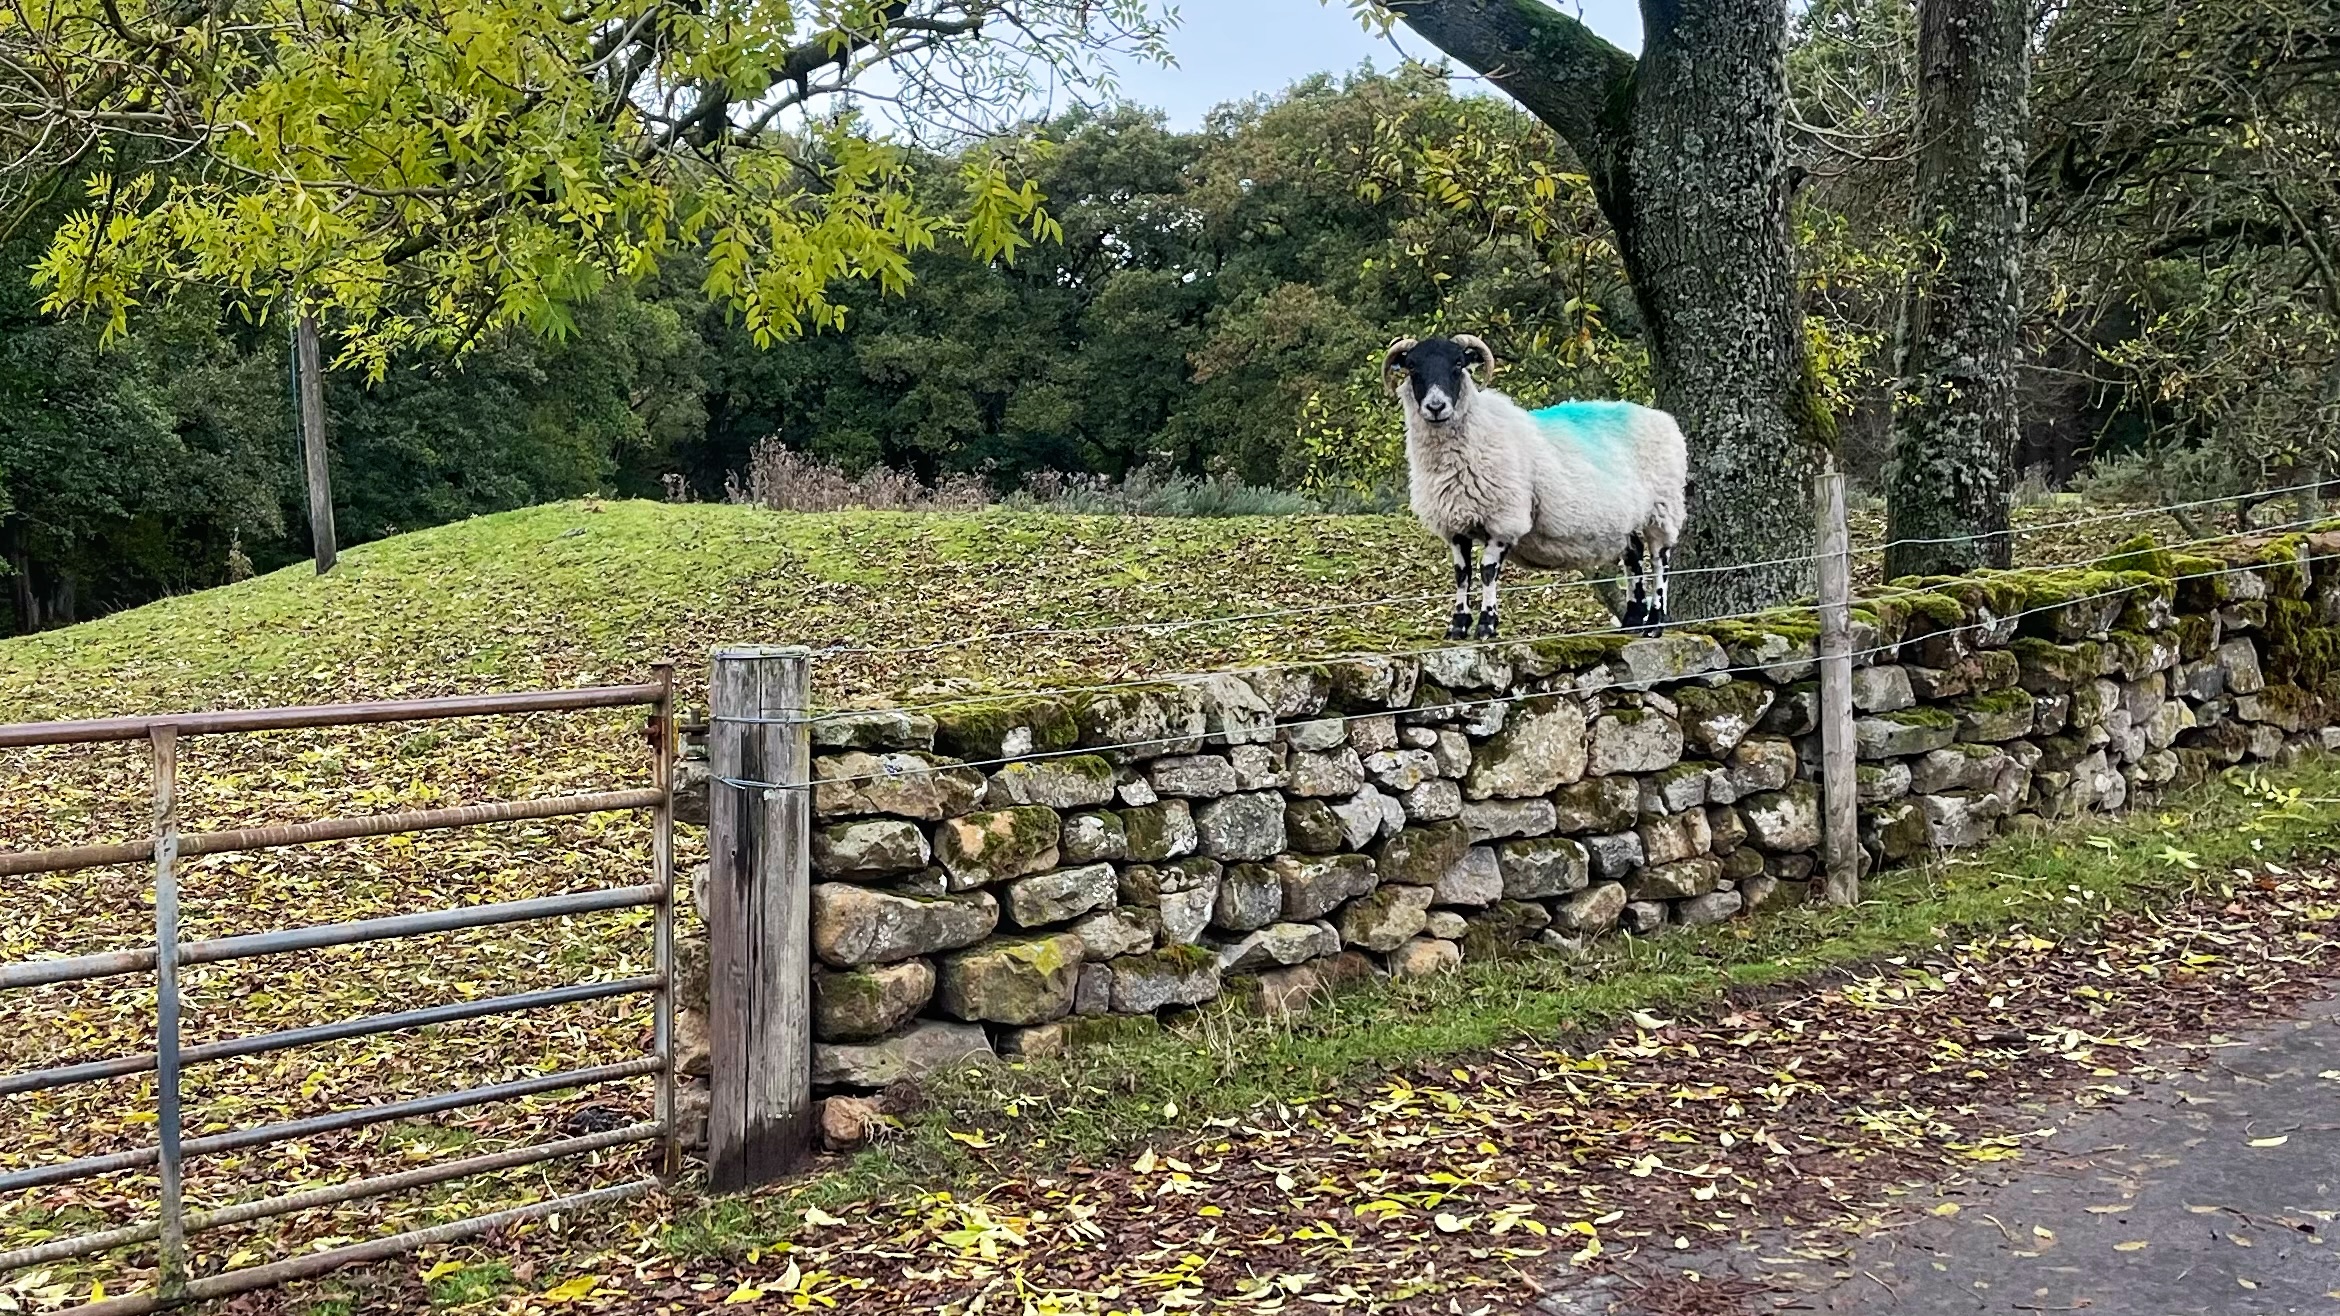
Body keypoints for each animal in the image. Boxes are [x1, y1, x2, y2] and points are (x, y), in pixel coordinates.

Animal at [1383, 334, 1689, 640]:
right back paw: (1632, 621)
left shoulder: (1505, 518)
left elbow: (1487, 570)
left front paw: (1486, 625)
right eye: (1412, 366)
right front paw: (1457, 626)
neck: (1480, 432)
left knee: (1660, 563)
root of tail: (1662, 418)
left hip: (1662, 508)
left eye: (1458, 364)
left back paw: (1655, 624)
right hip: (1626, 519)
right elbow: (1462, 573)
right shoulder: (1455, 523)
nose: (1436, 407)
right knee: (1634, 556)